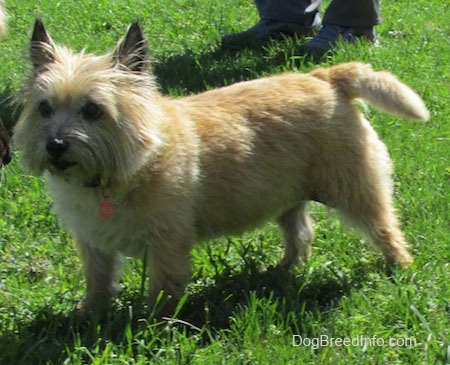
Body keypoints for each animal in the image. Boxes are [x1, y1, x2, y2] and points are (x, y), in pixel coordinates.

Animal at [13, 19, 428, 316]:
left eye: (93, 110)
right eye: (44, 108)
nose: (55, 145)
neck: (114, 177)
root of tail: (324, 77)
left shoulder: (167, 242)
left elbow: (163, 289)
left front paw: (155, 326)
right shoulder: (91, 240)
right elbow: (97, 279)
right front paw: (89, 314)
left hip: (354, 189)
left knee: (384, 227)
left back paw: (400, 267)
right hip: (287, 195)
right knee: (300, 232)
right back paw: (284, 268)